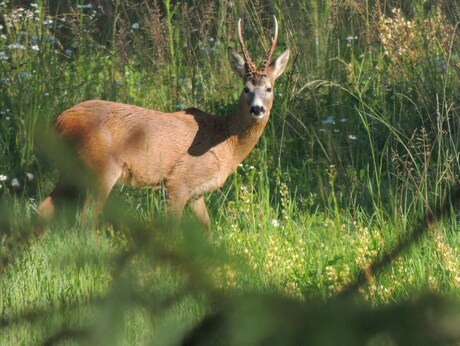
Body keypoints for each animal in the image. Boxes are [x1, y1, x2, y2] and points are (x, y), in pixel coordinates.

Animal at [37, 16, 290, 228]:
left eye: (269, 88)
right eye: (246, 88)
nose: (257, 109)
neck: (226, 142)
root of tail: (59, 120)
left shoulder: (197, 193)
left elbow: (207, 228)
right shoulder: (178, 181)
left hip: (71, 168)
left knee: (45, 207)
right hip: (101, 167)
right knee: (85, 218)